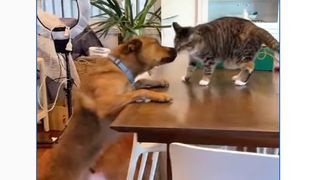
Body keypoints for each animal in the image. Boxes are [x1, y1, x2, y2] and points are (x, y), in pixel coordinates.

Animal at [39, 35, 178, 179]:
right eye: (156, 43)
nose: (176, 49)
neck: (121, 68)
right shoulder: (105, 104)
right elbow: (140, 91)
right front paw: (160, 95)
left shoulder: (130, 86)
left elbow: (140, 81)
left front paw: (159, 81)